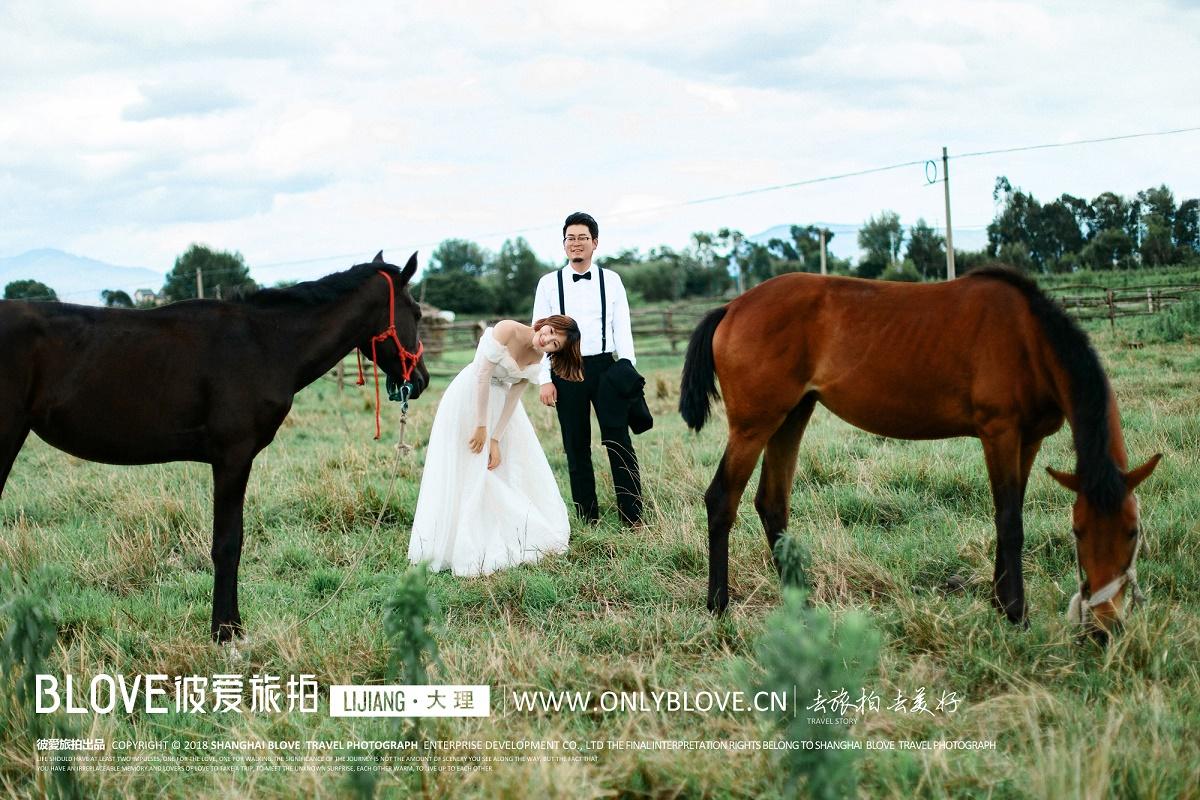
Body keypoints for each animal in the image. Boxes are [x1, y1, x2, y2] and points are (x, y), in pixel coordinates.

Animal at [0, 253, 429, 642]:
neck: (265, 342)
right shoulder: (232, 458)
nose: (421, 379)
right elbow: (228, 543)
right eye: (418, 312)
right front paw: (226, 631)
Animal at [686, 266, 1161, 642]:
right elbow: (1009, 521)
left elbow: (1009, 515)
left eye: (1133, 532)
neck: (1029, 337)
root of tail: (732, 308)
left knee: (772, 503)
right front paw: (1016, 614)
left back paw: (801, 608)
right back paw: (719, 608)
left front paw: (1000, 602)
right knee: (722, 500)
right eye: (1078, 532)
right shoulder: (999, 433)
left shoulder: (1029, 441)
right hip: (754, 426)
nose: (1104, 629)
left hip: (792, 416)